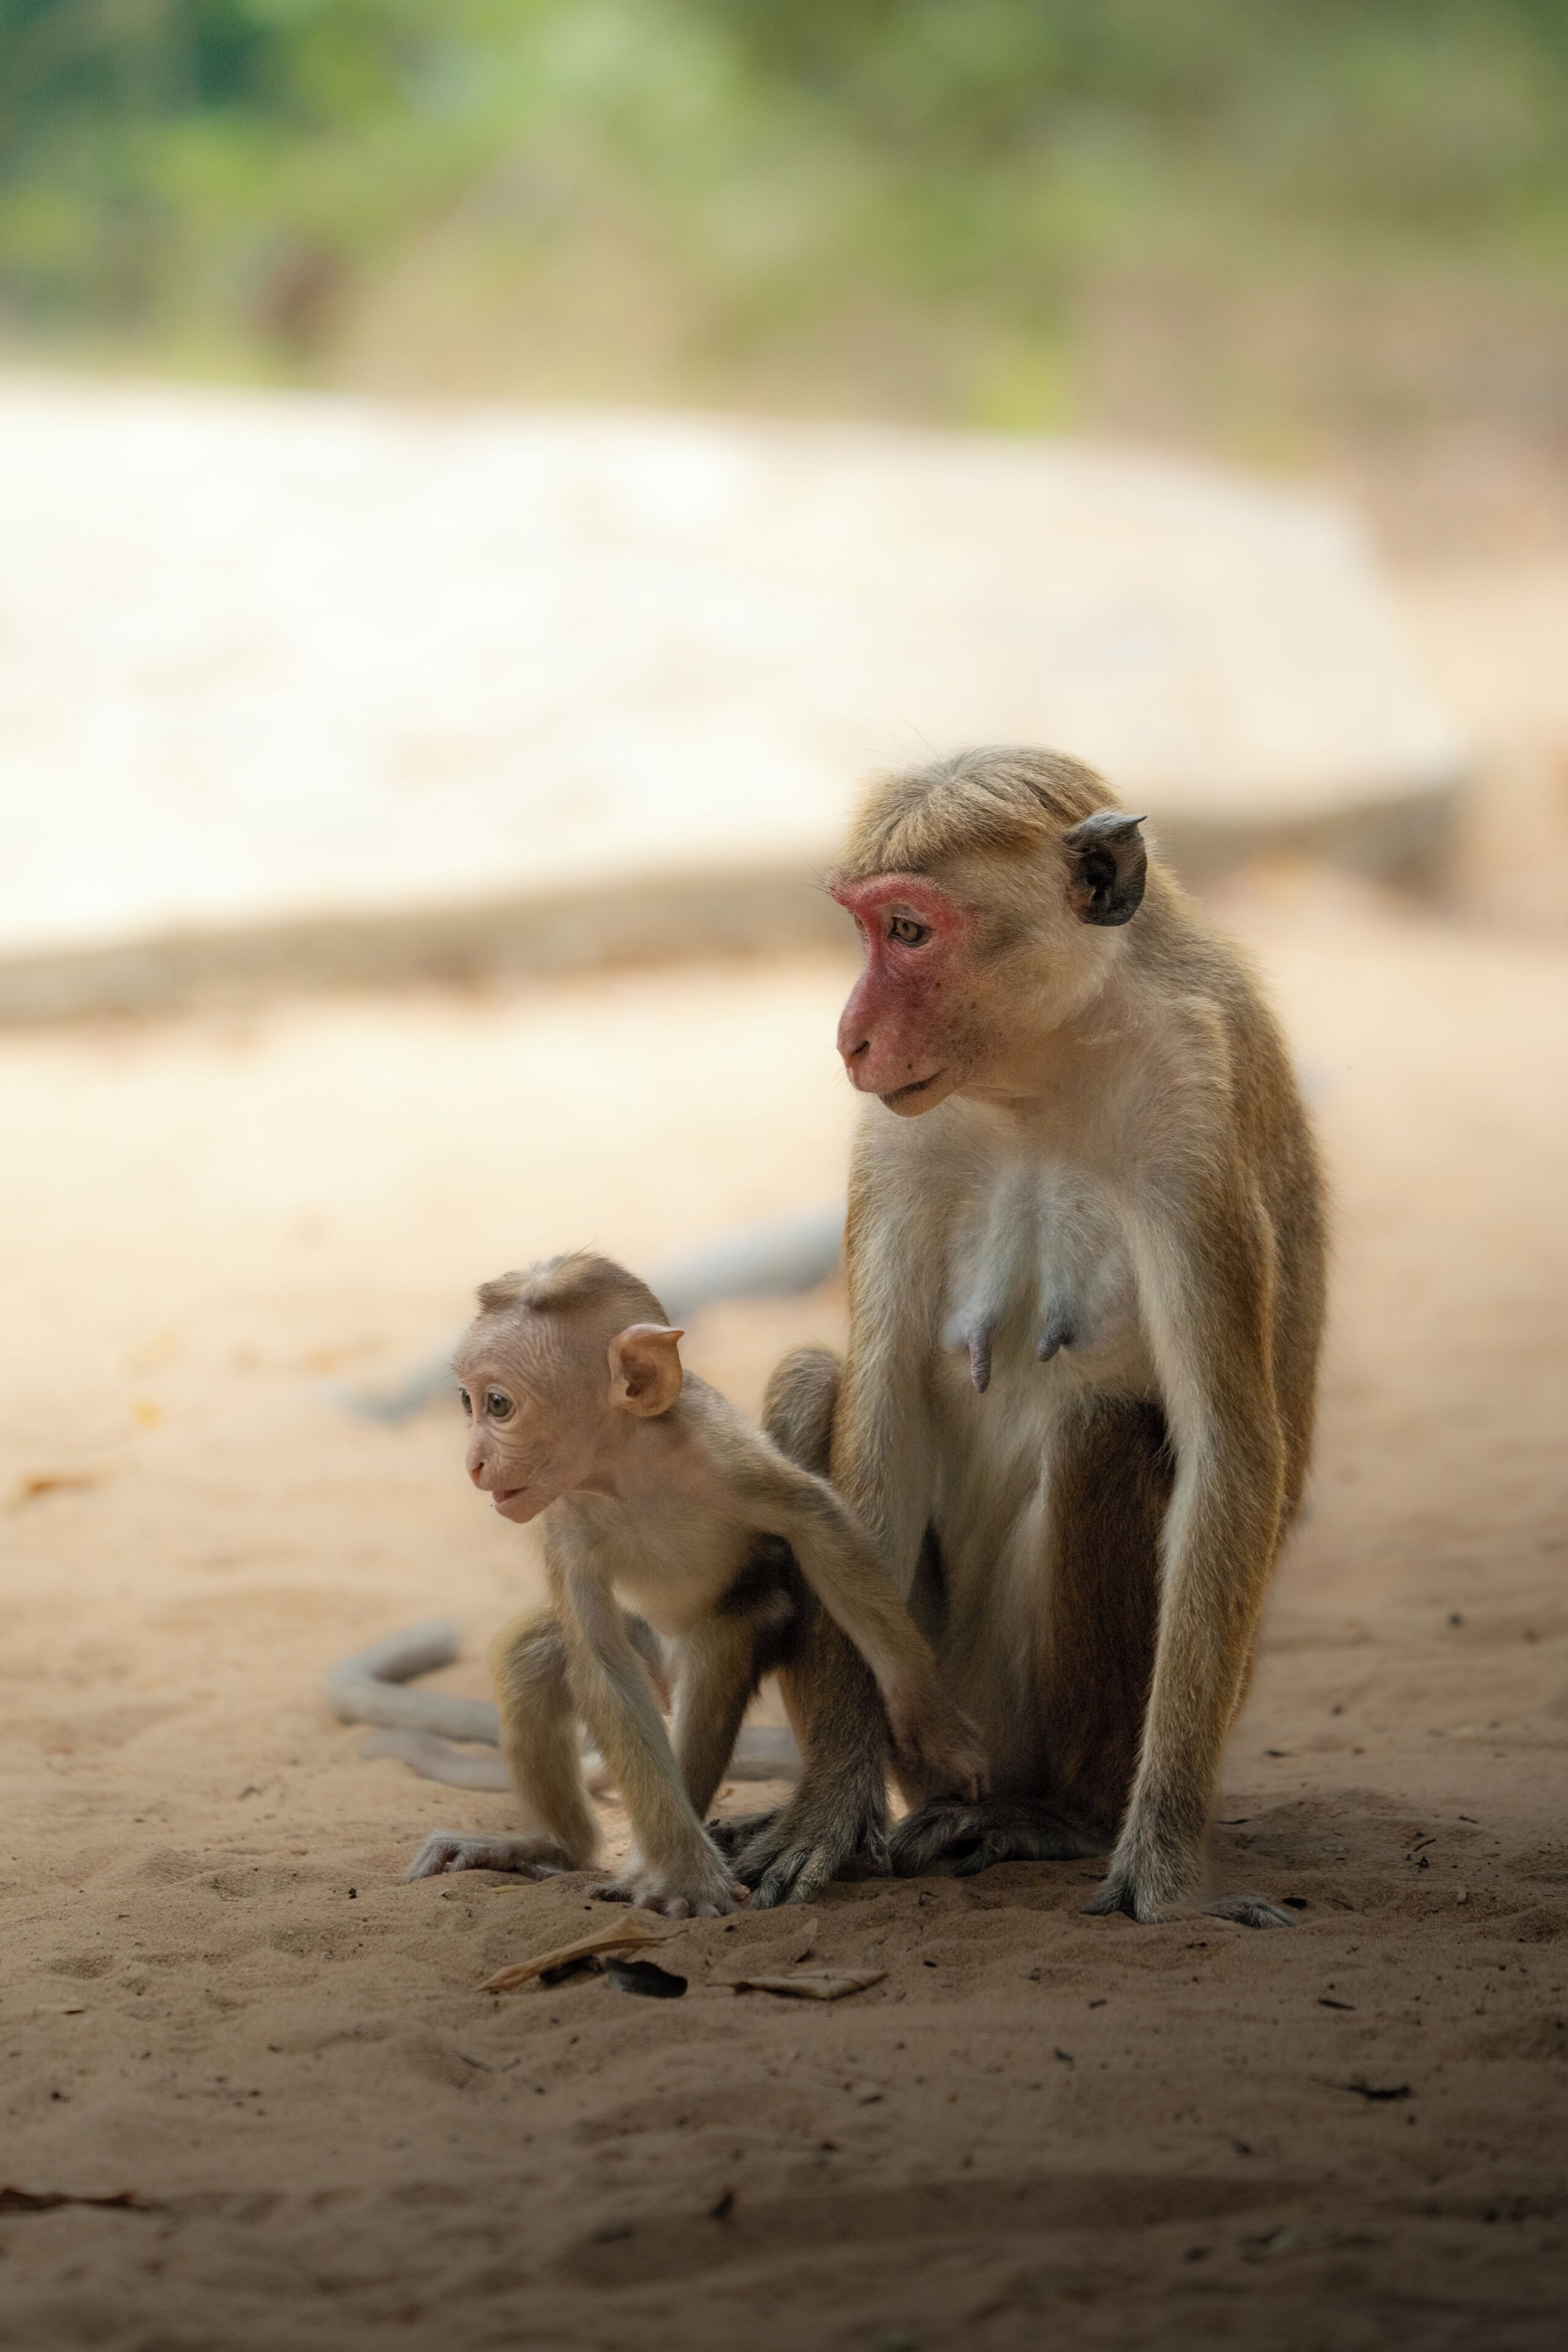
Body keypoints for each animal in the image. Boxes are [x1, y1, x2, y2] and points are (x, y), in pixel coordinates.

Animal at [406, 1252, 986, 1917]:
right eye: (466, 1402)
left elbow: (819, 1525)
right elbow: (603, 1665)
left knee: (720, 1646)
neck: (623, 1469)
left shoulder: (724, 1456)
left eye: (498, 1405)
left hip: (734, 1621)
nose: (474, 1462)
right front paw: (686, 1874)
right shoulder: (564, 1523)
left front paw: (927, 1718)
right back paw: (561, 1847)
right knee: (536, 1662)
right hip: (644, 1638)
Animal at [713, 747, 1326, 1926]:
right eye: (865, 930)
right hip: (942, 1714)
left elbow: (1229, 1447)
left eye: (909, 931)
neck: (1049, 1062)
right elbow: (884, 1421)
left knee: (1104, 1427)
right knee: (815, 1385)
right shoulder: (897, 1136)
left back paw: (1061, 1819)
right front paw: (826, 1810)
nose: (851, 1036)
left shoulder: (1195, 1102)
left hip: (1030, 1725)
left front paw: (1168, 1868)